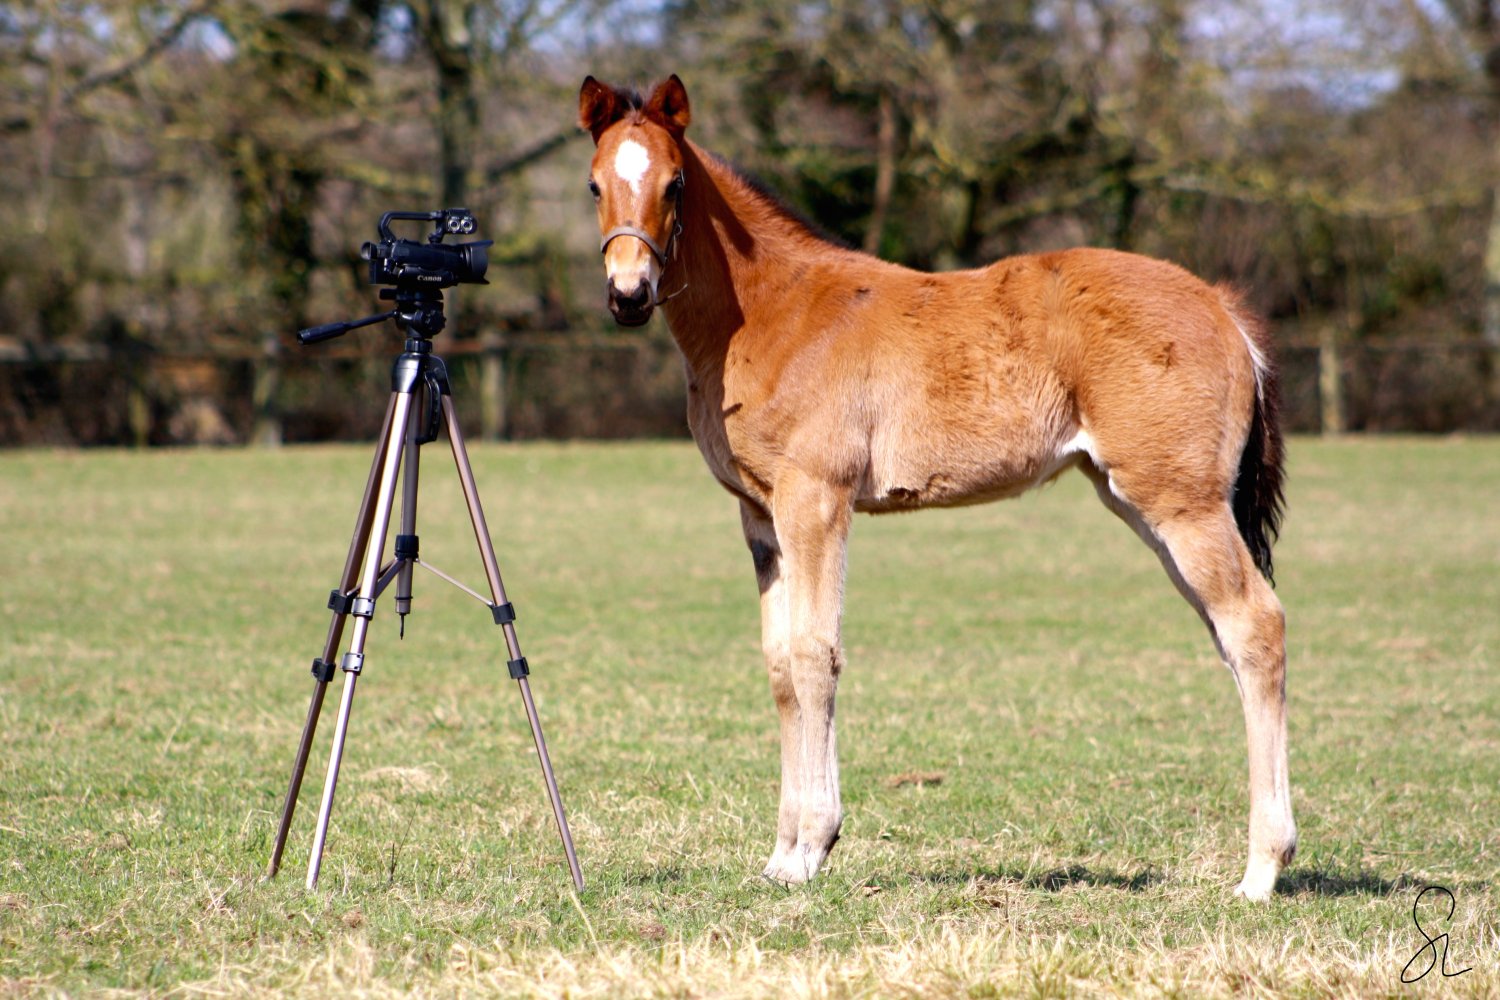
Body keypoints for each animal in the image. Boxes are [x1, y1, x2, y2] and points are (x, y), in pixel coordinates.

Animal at [577, 74, 1296, 901]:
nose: (629, 293)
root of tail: (1222, 307)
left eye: (675, 182)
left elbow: (816, 655)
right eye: (594, 182)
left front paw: (812, 849)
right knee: (1230, 638)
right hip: (1146, 505)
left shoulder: (815, 501)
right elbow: (781, 666)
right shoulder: (760, 517)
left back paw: (1262, 870)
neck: (768, 312)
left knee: (1255, 626)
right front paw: (781, 855)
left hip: (1182, 504)